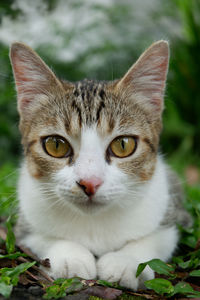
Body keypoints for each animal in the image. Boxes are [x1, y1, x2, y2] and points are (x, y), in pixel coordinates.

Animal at [10, 41, 191, 290]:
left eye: (123, 145)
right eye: (56, 145)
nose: (90, 182)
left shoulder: (174, 210)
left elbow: (158, 237)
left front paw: (125, 260)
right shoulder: (24, 223)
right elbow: (40, 237)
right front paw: (71, 257)